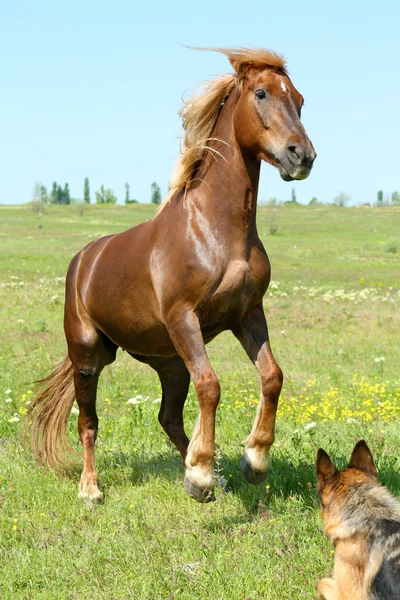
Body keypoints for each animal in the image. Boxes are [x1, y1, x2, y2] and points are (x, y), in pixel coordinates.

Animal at [28, 49, 316, 504]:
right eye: (261, 93)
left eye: (300, 100)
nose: (301, 156)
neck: (214, 230)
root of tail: (84, 259)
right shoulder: (184, 317)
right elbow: (212, 385)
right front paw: (207, 472)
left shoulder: (247, 314)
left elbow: (272, 376)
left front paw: (251, 461)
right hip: (87, 356)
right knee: (88, 422)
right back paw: (92, 489)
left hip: (169, 362)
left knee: (169, 417)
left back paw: (206, 476)